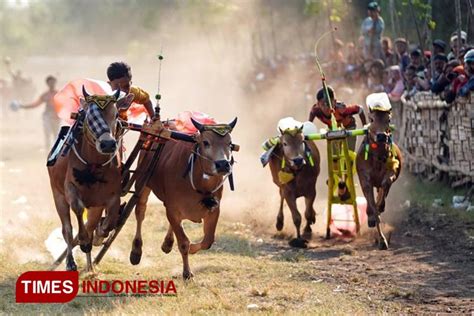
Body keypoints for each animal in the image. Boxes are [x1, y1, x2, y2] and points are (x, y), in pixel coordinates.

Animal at [48, 87, 132, 270]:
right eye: (89, 115)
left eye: (116, 114)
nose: (108, 144)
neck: (94, 165)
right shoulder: (70, 190)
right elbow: (78, 211)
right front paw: (84, 241)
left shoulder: (110, 198)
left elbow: (108, 223)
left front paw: (99, 235)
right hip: (57, 196)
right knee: (67, 229)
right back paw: (71, 261)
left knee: (90, 224)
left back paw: (90, 266)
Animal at [130, 116, 237, 278]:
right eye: (206, 142)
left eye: (229, 144)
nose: (223, 164)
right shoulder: (172, 208)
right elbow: (183, 243)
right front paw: (187, 272)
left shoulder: (213, 210)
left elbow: (208, 241)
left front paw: (193, 248)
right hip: (142, 183)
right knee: (140, 212)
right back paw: (136, 250)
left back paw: (167, 243)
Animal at [358, 108, 402, 249]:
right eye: (371, 119)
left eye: (388, 119)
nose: (381, 136)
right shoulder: (365, 180)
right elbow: (372, 206)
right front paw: (382, 240)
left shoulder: (391, 172)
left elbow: (385, 184)